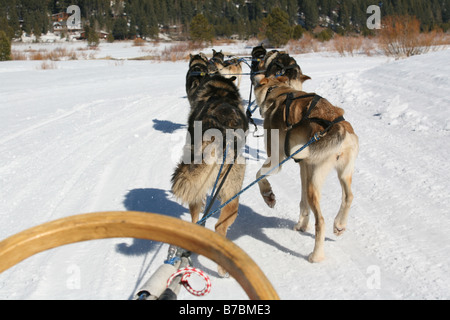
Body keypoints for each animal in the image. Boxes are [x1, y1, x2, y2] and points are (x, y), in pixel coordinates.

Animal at [255, 76, 360, 264]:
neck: (279, 91)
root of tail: (338, 127)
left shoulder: (275, 162)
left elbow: (259, 175)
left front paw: (268, 195)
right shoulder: (304, 167)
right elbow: (303, 204)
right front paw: (302, 225)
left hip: (314, 181)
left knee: (321, 221)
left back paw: (316, 255)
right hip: (342, 173)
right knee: (348, 196)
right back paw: (339, 224)